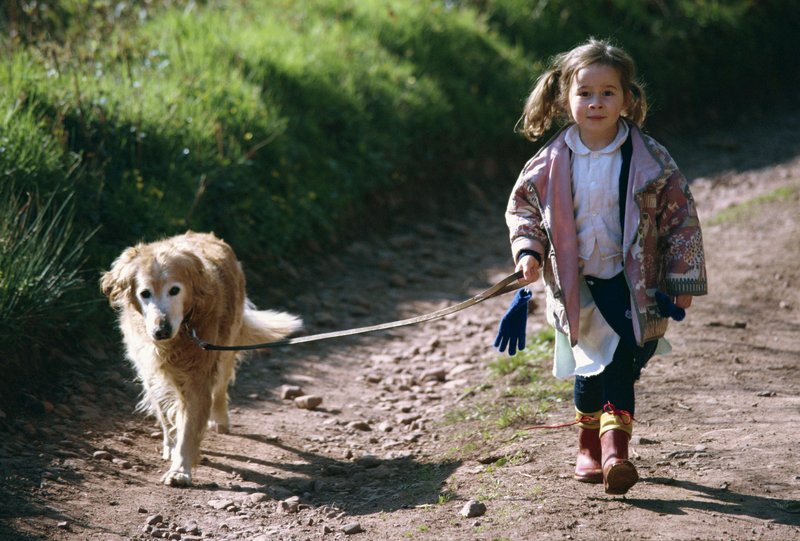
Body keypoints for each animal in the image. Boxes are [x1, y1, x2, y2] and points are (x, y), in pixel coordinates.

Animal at [100, 230, 300, 484]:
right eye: (145, 294)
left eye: (174, 290)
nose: (161, 330)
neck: (182, 331)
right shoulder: (150, 372)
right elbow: (165, 413)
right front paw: (171, 445)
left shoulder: (198, 376)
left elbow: (189, 425)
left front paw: (180, 469)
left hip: (226, 347)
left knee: (221, 388)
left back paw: (221, 419)